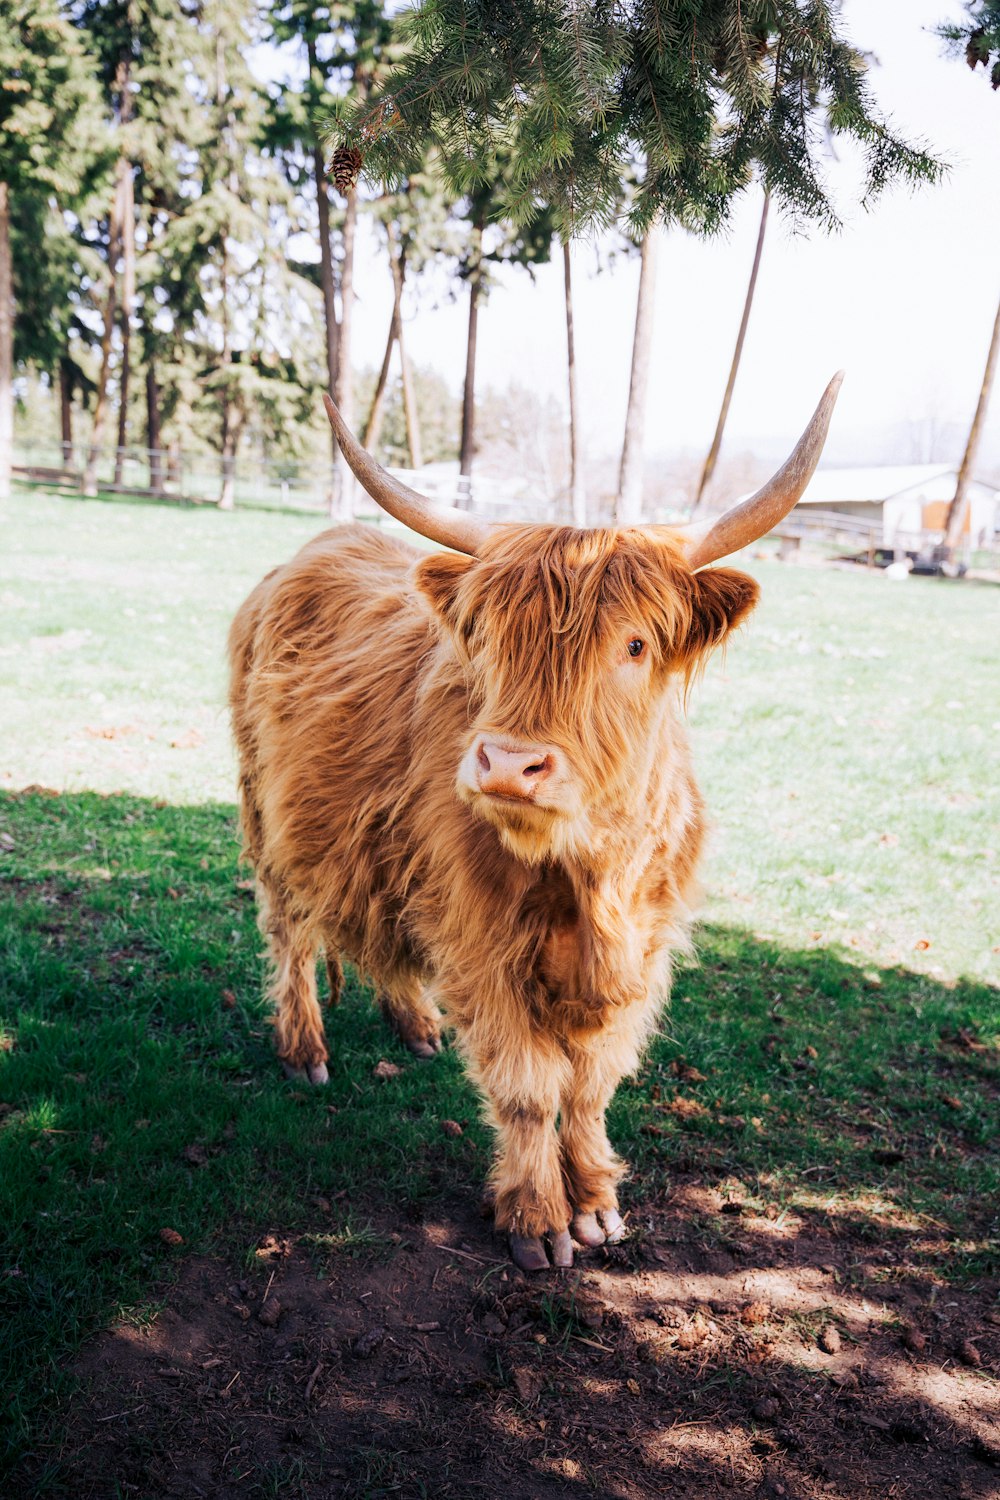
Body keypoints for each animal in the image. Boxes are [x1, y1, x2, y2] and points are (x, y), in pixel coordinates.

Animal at [230, 375, 839, 1266]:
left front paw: (597, 1204)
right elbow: (528, 1086)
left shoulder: (642, 950)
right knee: (290, 931)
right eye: (486, 639)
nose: (508, 766)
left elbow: (590, 1086)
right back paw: (304, 1048)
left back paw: (415, 1024)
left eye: (634, 646)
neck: (592, 880)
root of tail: (314, 548)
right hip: (266, 816)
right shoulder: (481, 940)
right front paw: (538, 1219)